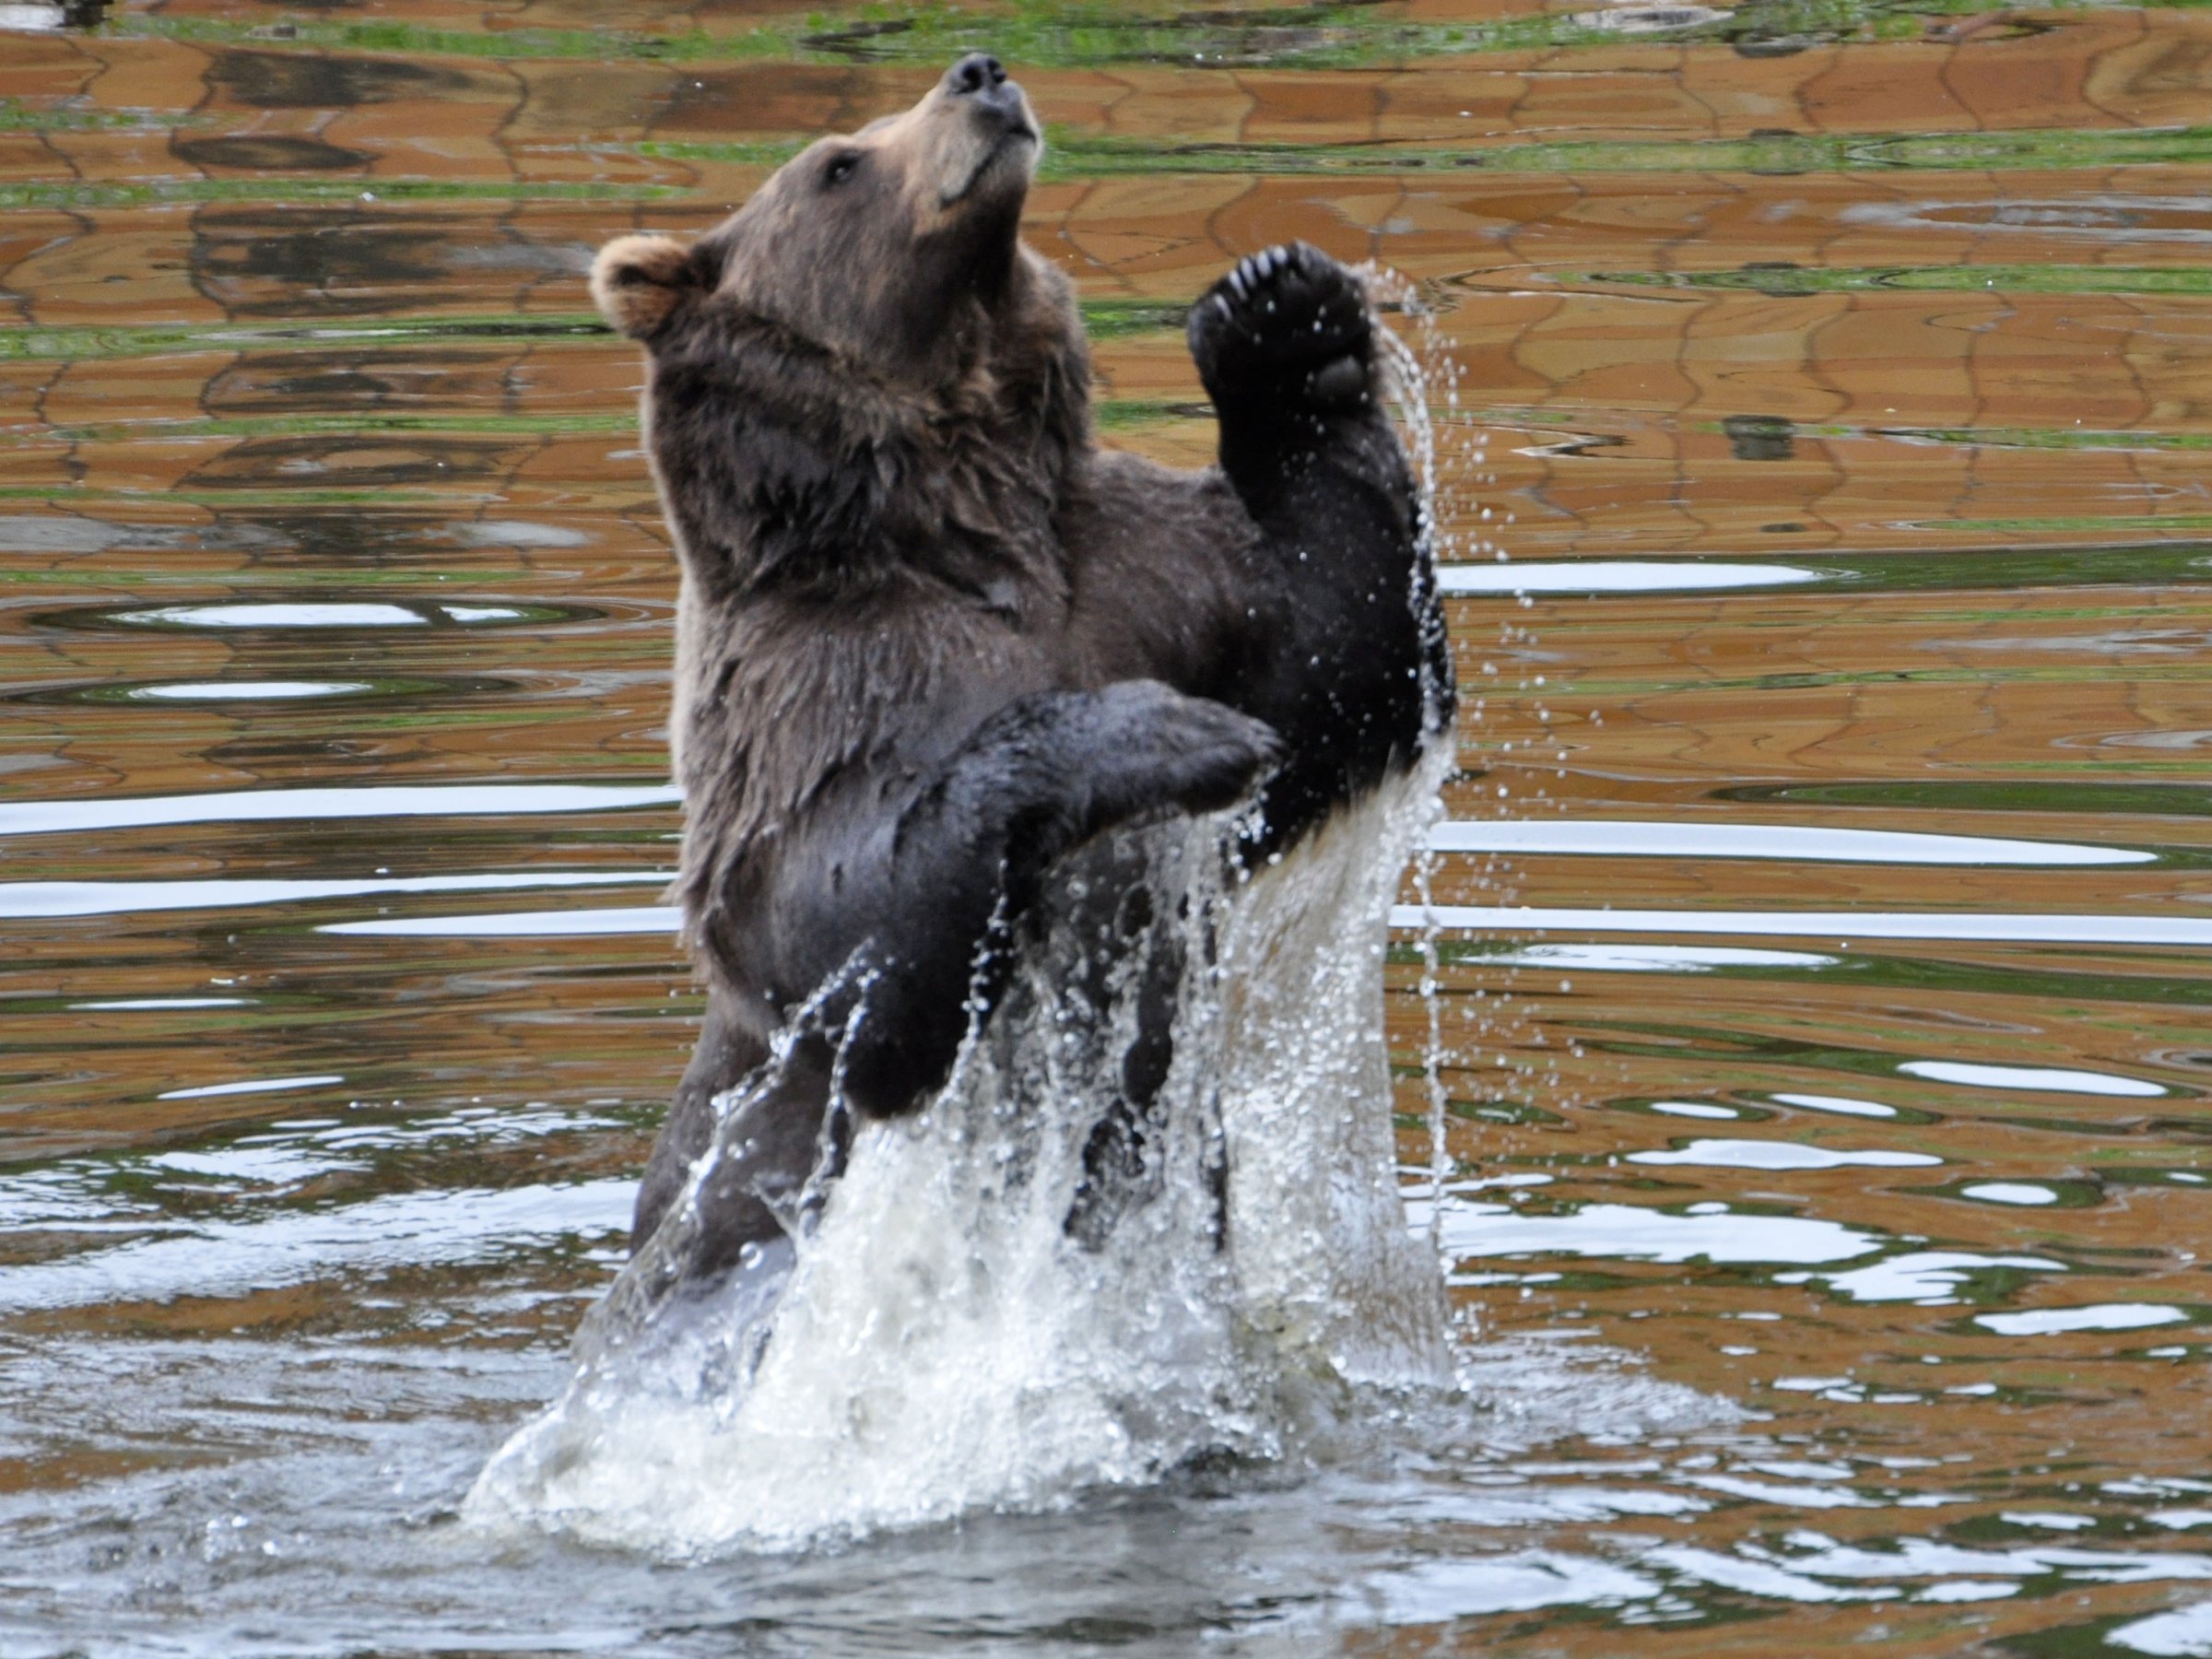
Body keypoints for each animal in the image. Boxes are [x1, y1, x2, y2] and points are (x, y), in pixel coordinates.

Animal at [589, 52, 1453, 1287]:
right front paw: (1175, 735)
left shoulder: (1154, 571)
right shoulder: (821, 683)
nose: (979, 73)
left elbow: (1347, 662)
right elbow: (837, 919)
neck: (961, 510)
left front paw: (1283, 317)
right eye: (839, 163)